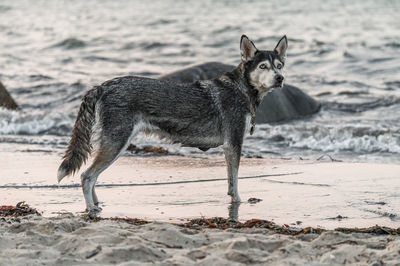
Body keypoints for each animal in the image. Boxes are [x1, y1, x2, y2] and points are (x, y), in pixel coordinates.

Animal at [57, 34, 288, 215]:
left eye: (279, 66)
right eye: (263, 66)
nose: (280, 78)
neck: (241, 89)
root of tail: (102, 86)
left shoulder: (230, 146)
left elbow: (231, 181)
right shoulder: (233, 144)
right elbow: (235, 180)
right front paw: (238, 202)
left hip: (113, 144)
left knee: (93, 177)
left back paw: (97, 203)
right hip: (116, 144)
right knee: (87, 176)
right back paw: (91, 208)